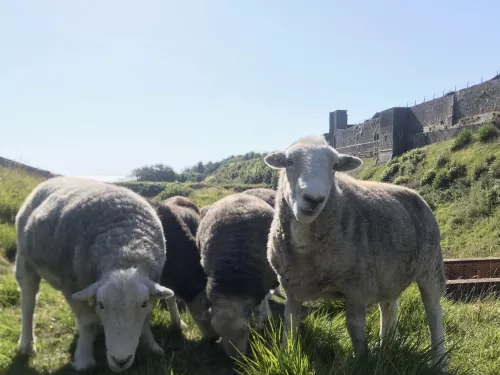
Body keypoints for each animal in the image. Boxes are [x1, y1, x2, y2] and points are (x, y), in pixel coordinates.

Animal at [14, 176, 184, 374]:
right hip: (25, 259)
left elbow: (146, 319)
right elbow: (89, 322)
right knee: (29, 300)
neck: (124, 251)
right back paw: (27, 345)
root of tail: (54, 179)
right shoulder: (70, 284)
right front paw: (84, 360)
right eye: (102, 304)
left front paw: (152, 346)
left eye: (142, 304)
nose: (120, 361)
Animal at [264, 137, 448, 372]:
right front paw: (288, 355)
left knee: (433, 311)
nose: (314, 199)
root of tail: (414, 193)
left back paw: (439, 361)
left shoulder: (357, 288)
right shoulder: (291, 288)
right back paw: (385, 347)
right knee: (389, 308)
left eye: (334, 166)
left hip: (431, 265)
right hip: (388, 275)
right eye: (289, 161)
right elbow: (290, 324)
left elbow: (354, 328)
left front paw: (361, 361)